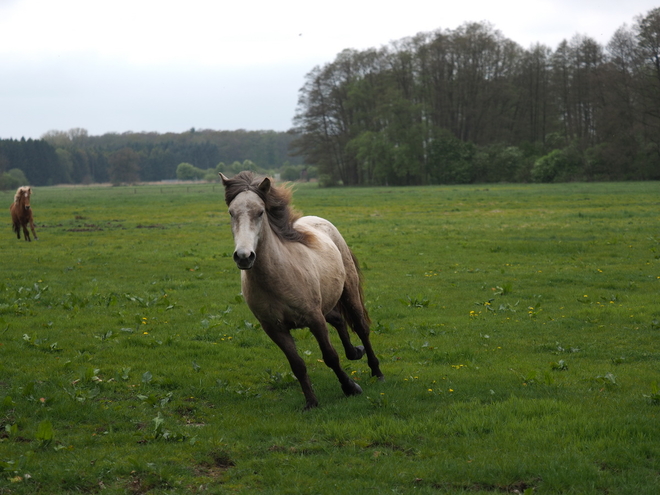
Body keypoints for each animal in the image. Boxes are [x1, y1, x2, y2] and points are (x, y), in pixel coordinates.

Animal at [220, 172, 382, 408]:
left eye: (260, 212)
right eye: (231, 213)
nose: (244, 256)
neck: (278, 277)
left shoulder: (314, 318)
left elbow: (330, 356)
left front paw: (350, 388)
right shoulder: (274, 328)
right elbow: (297, 365)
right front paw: (311, 402)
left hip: (348, 292)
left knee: (361, 328)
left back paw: (377, 371)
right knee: (339, 320)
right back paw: (354, 352)